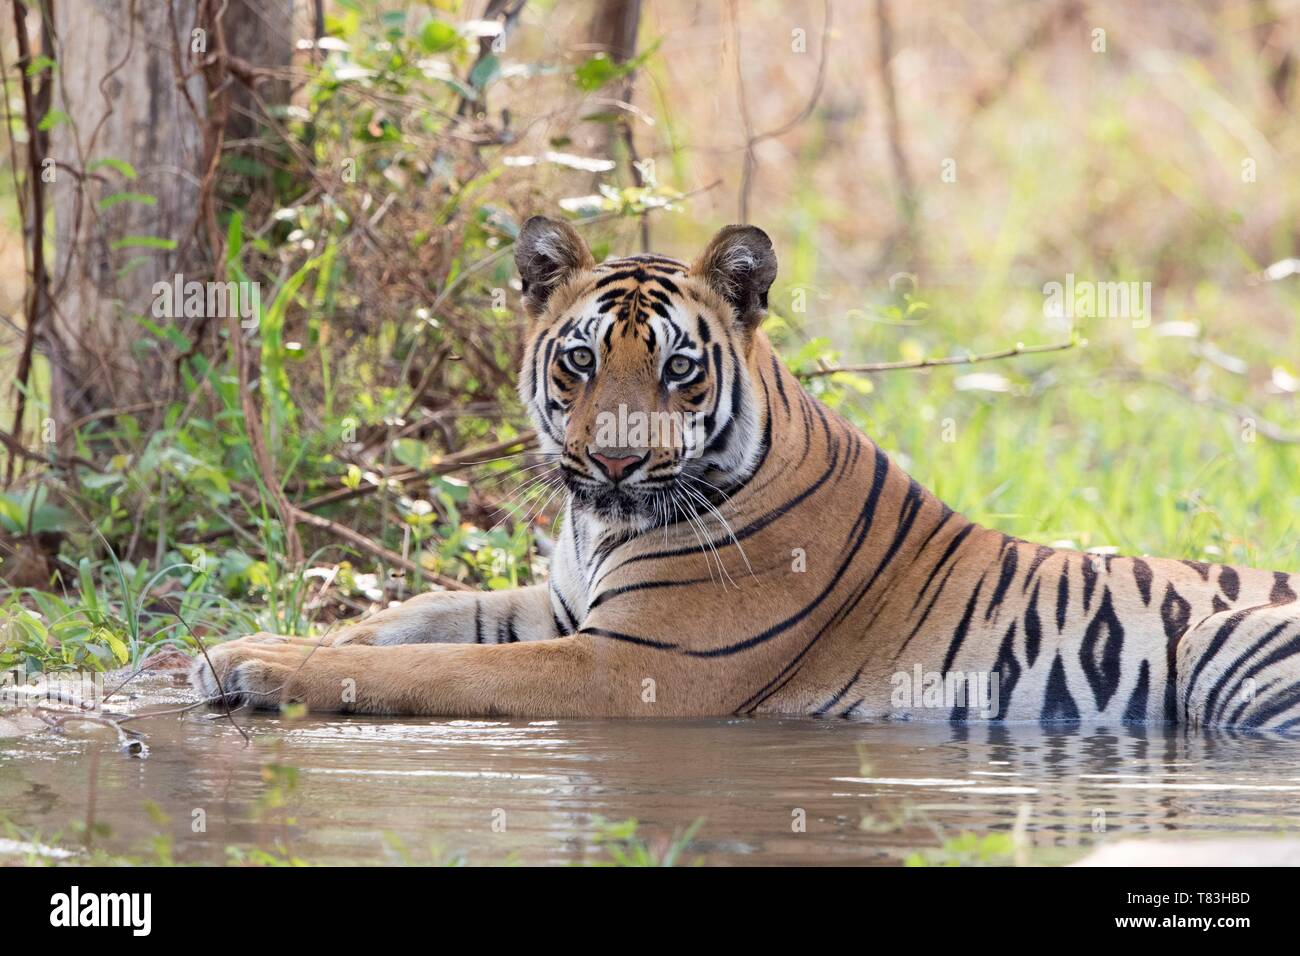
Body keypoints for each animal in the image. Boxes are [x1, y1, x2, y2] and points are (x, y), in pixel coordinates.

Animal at [189, 214, 1300, 723]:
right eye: (579, 359)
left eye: (679, 368)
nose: (612, 458)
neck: (601, 524)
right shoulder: (564, 607)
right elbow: (419, 614)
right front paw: (231, 645)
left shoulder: (631, 664)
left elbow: (434, 667)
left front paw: (270, 667)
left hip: (1225, 645)